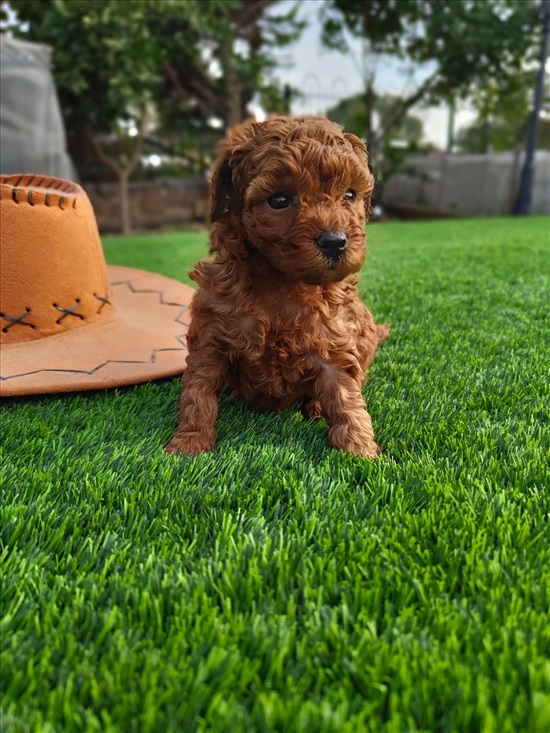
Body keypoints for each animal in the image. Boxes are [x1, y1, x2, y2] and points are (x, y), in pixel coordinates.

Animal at [166, 114, 390, 458]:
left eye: (350, 195)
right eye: (279, 200)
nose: (335, 242)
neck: (281, 282)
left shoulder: (334, 340)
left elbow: (345, 395)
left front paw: (359, 448)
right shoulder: (211, 335)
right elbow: (198, 392)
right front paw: (189, 442)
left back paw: (316, 408)